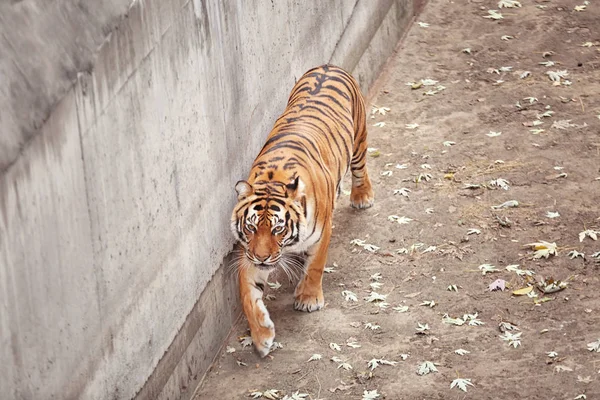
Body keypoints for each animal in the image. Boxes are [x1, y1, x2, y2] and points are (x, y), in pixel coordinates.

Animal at [232, 63, 372, 356]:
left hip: (359, 139)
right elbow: (248, 296)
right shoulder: (249, 253)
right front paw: (262, 337)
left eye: (277, 229)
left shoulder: (322, 233)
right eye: (251, 227)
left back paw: (362, 196)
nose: (262, 258)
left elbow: (316, 265)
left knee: (360, 168)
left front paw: (308, 299)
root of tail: (328, 66)